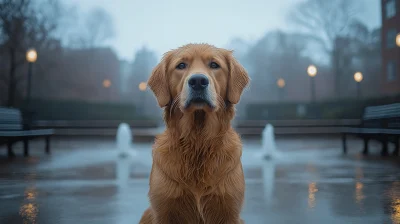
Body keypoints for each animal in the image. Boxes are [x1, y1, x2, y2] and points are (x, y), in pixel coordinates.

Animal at [139, 43, 248, 223]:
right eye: (181, 65)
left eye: (214, 65)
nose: (198, 81)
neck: (198, 140)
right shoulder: (164, 209)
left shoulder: (228, 209)